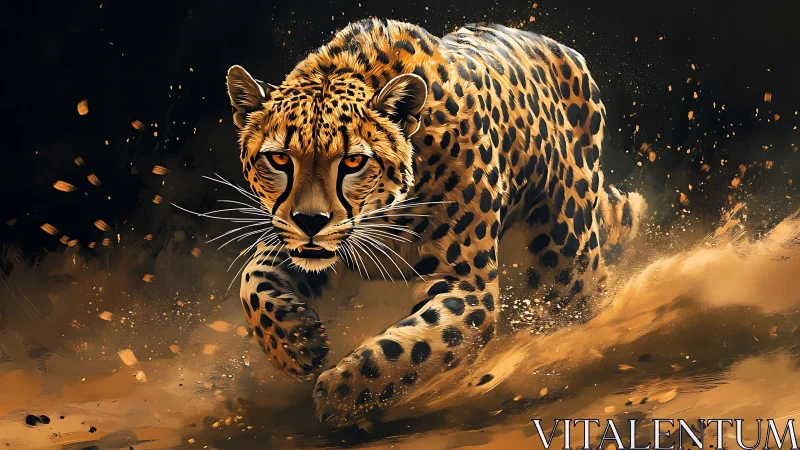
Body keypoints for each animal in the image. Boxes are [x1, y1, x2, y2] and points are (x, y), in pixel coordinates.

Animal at [225, 18, 646, 428]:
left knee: (577, 300)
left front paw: (341, 394)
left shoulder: (467, 285)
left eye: (353, 161)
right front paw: (297, 343)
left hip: (564, 258)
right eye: (279, 159)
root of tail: (566, 51)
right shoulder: (300, 242)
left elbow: (410, 346)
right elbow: (252, 280)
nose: (310, 221)